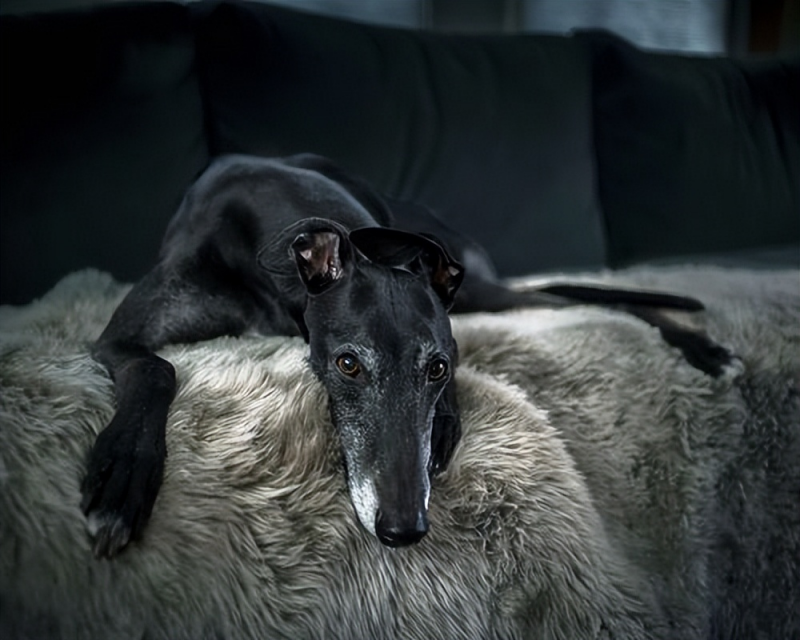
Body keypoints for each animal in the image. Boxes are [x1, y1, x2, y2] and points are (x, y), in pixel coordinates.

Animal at [83, 152, 732, 556]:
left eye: (437, 367)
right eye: (347, 364)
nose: (403, 529)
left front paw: (443, 426)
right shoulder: (119, 338)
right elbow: (155, 365)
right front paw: (121, 478)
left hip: (481, 290)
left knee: (570, 295)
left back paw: (702, 345)